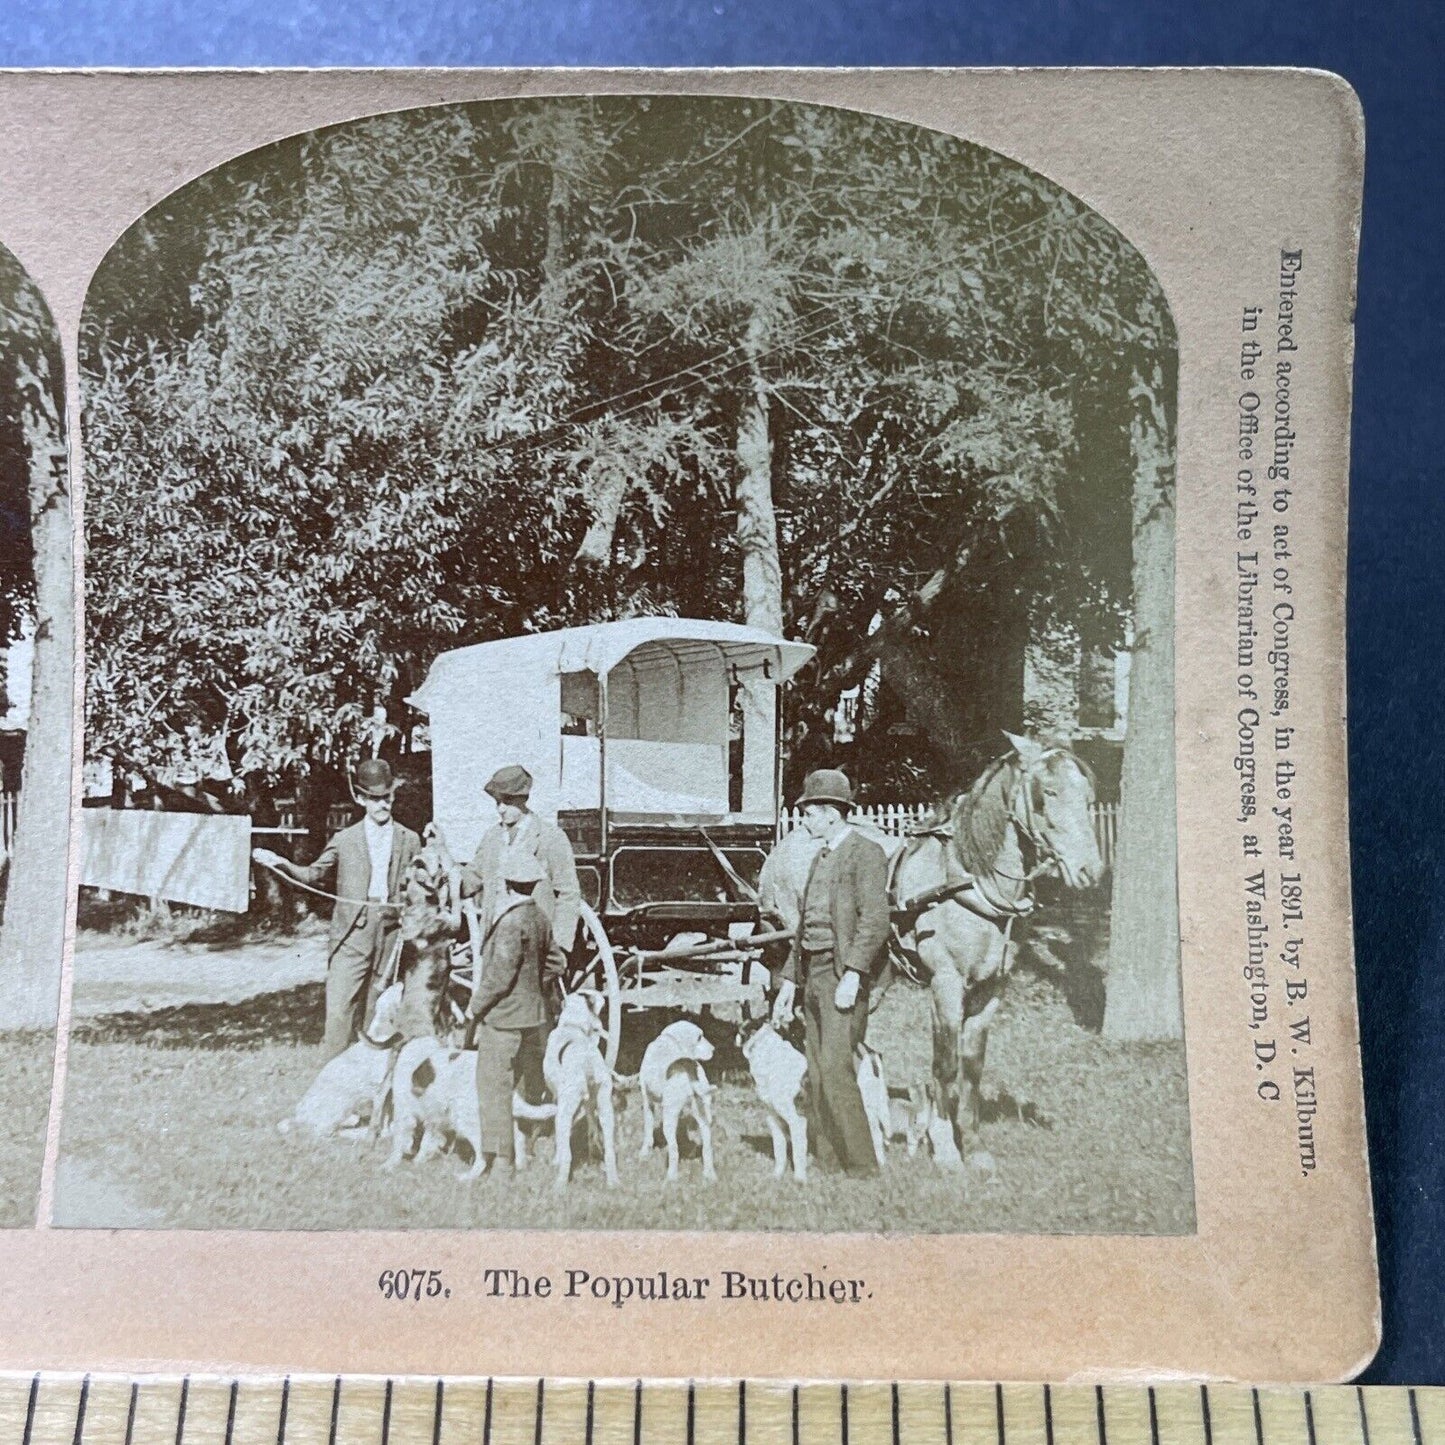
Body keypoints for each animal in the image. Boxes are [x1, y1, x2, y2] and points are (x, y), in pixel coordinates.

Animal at [277, 982, 404, 1138]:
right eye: (395, 992)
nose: (399, 982)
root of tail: (298, 1119)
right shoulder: (382, 1087)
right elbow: (381, 1115)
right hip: (340, 1109)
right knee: (330, 1132)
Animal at [537, 988, 615, 1190]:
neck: (573, 1026)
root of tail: (586, 1059)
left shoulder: (558, 1100)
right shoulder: (589, 1104)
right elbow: (592, 1128)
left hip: (563, 1112)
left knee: (567, 1155)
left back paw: (559, 1185)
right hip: (606, 1108)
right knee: (610, 1150)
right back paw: (613, 1180)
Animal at [638, 1017, 716, 1184]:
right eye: (699, 1037)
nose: (714, 1049)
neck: (670, 1039)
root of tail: (688, 1069)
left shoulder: (648, 1100)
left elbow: (648, 1130)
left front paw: (644, 1153)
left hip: (669, 1117)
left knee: (674, 1150)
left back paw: (671, 1178)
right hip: (703, 1112)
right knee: (707, 1147)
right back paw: (710, 1175)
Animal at [890, 728, 1103, 1167]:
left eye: (1088, 796)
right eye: (1048, 792)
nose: (1090, 870)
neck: (967, 882)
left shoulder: (991, 988)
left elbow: (972, 1066)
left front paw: (972, 1144)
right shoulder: (945, 984)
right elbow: (945, 1063)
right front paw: (945, 1147)